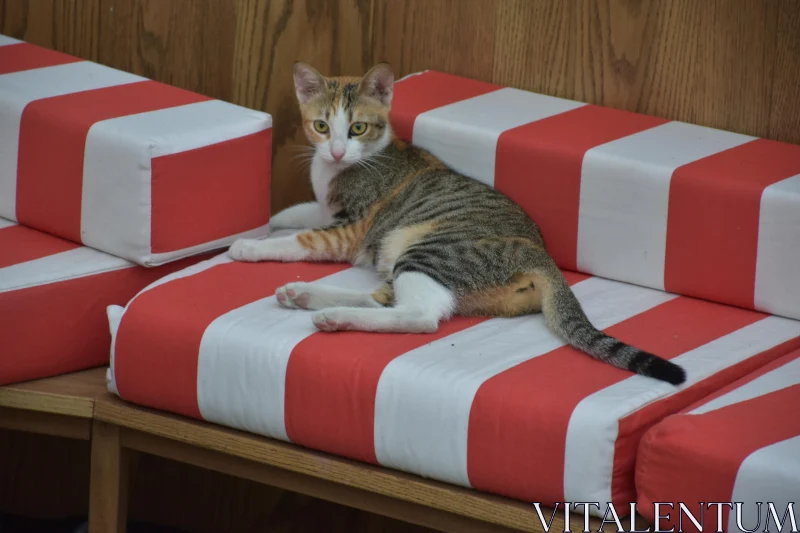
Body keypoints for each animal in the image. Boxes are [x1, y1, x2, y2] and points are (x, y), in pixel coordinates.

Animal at [227, 64, 688, 384]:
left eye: (358, 127)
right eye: (321, 126)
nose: (338, 151)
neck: (338, 171)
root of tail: (540, 254)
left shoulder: (348, 229)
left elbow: (301, 240)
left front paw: (250, 247)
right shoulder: (325, 209)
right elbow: (295, 214)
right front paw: (267, 222)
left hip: (430, 249)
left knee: (420, 315)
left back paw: (333, 316)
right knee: (387, 298)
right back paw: (306, 295)